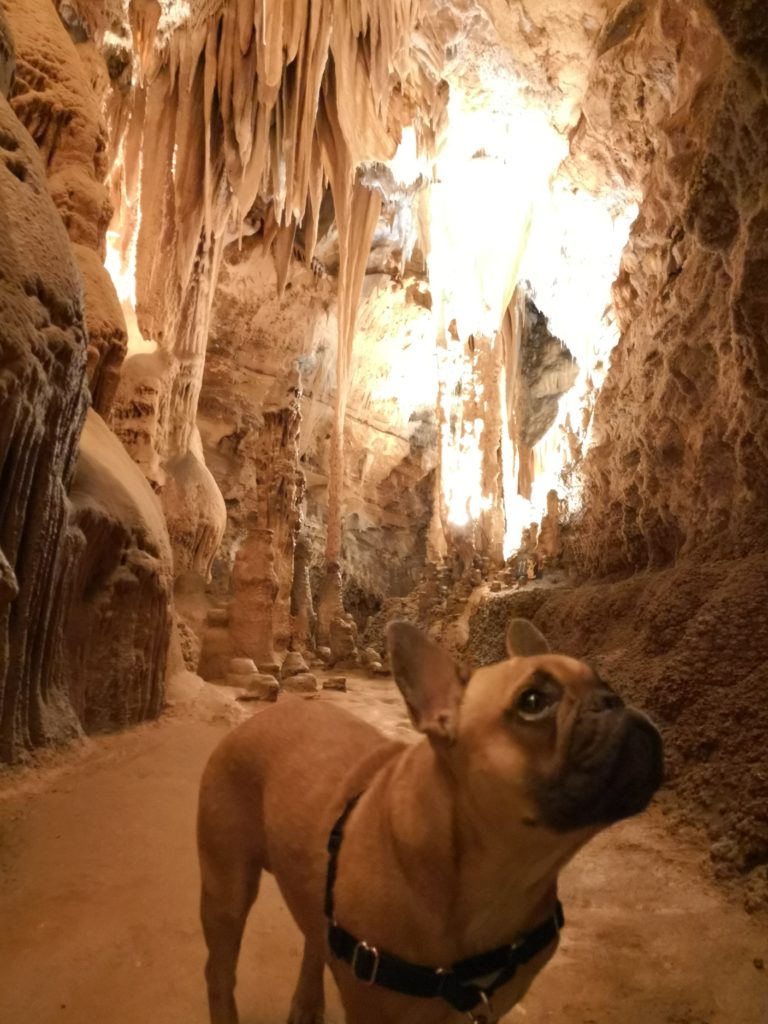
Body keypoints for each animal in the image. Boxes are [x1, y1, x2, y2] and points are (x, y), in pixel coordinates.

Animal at [196, 614, 663, 1024]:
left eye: (606, 683)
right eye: (533, 703)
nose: (612, 702)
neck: (498, 877)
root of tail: (266, 714)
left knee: (314, 935)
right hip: (226, 888)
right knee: (219, 972)